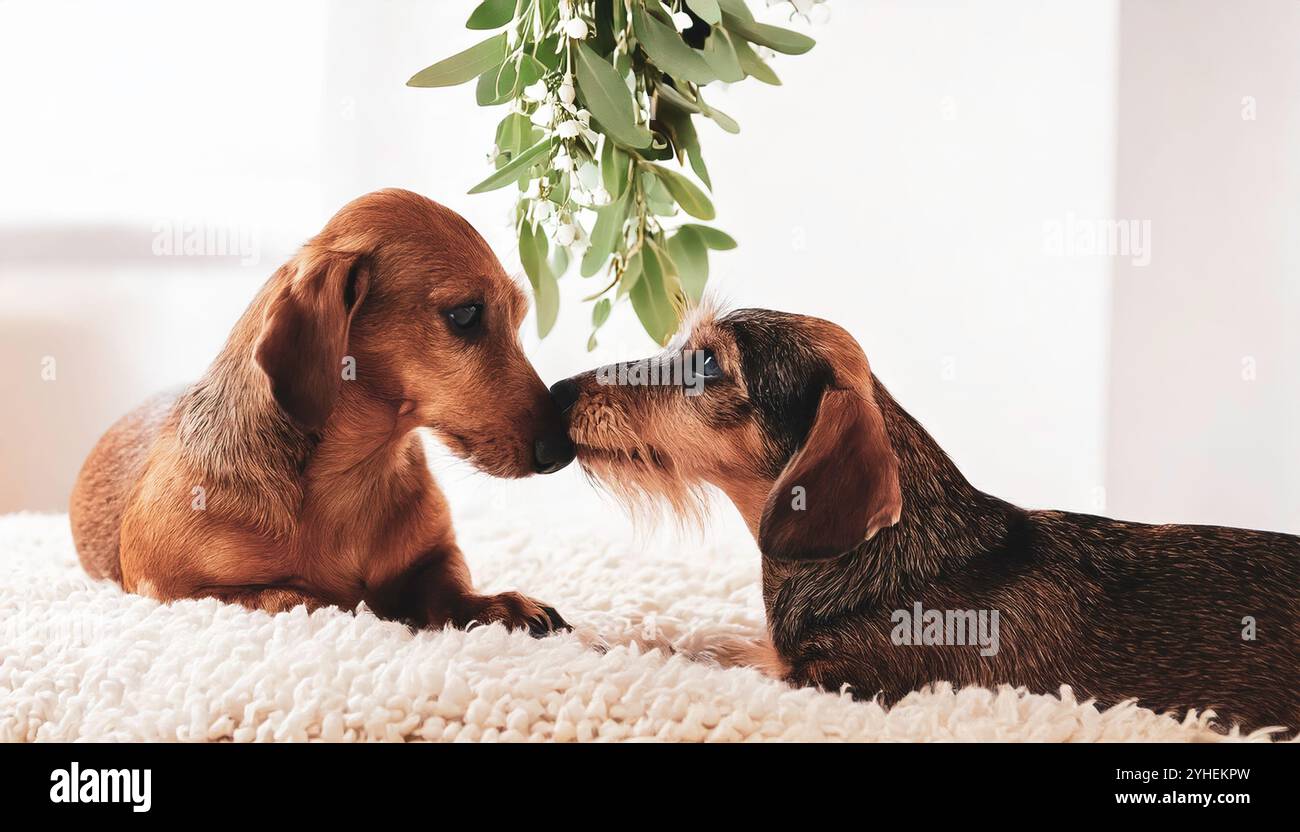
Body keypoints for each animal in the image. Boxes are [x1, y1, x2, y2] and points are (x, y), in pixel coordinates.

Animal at [72, 188, 574, 629]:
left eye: (520, 315)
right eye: (466, 314)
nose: (563, 450)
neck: (356, 474)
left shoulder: (439, 554)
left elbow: (448, 587)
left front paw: (497, 606)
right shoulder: (170, 590)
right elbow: (291, 596)